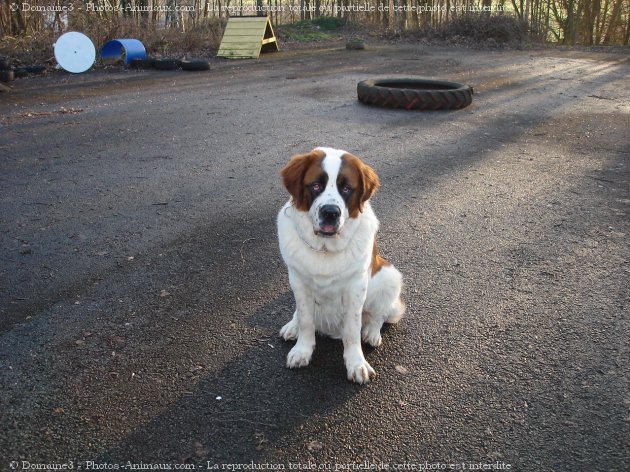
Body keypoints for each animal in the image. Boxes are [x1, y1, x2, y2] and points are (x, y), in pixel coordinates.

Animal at [276, 148, 404, 384]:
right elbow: (306, 318)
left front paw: (356, 364)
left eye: (346, 188)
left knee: (379, 315)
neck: (325, 248)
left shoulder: (356, 287)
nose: (330, 212)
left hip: (389, 275)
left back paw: (372, 333)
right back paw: (292, 325)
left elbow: (352, 329)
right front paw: (302, 350)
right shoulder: (298, 280)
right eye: (316, 185)